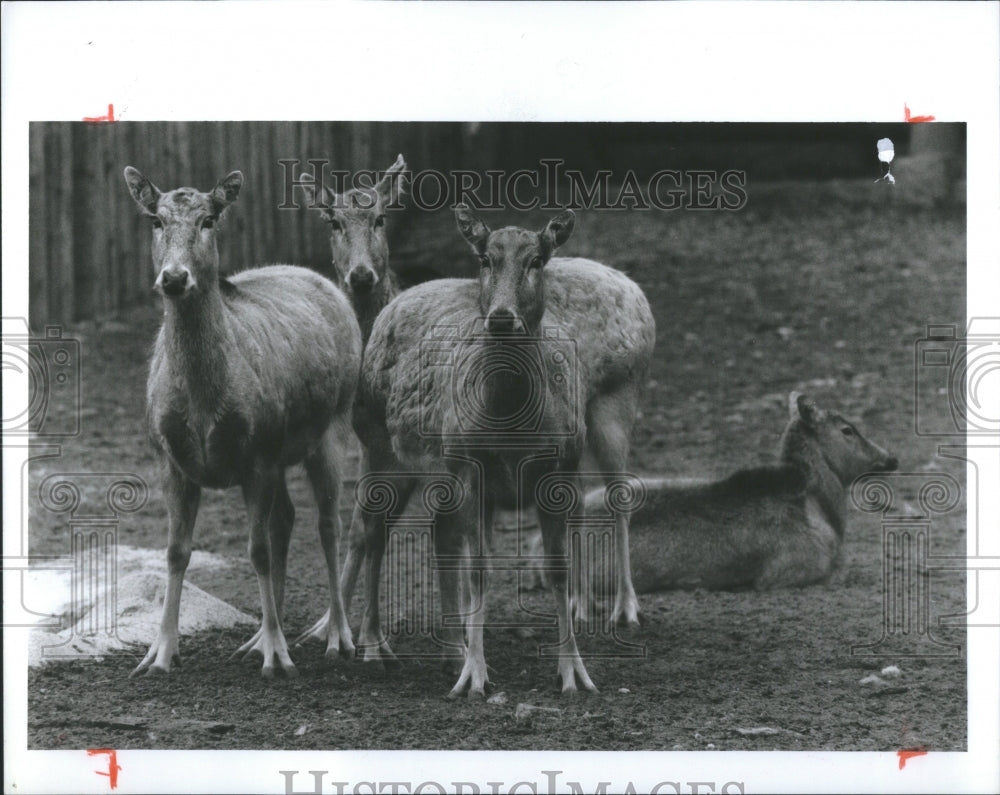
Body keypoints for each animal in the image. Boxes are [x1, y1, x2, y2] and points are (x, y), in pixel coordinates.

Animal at [123, 168, 362, 676]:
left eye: (209, 219)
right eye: (156, 219)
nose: (174, 277)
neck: (203, 405)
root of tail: (319, 277)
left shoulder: (259, 454)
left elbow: (256, 550)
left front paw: (277, 655)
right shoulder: (168, 457)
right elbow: (176, 551)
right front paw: (159, 653)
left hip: (334, 421)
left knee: (328, 523)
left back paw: (337, 635)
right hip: (285, 445)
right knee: (287, 518)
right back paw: (258, 637)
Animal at [358, 205, 656, 696]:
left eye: (536, 260)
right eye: (485, 258)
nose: (500, 317)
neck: (510, 422)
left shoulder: (557, 465)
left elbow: (557, 567)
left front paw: (575, 672)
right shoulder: (472, 465)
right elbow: (479, 570)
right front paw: (474, 676)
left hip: (613, 404)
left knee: (617, 495)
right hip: (377, 443)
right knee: (372, 530)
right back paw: (374, 647)